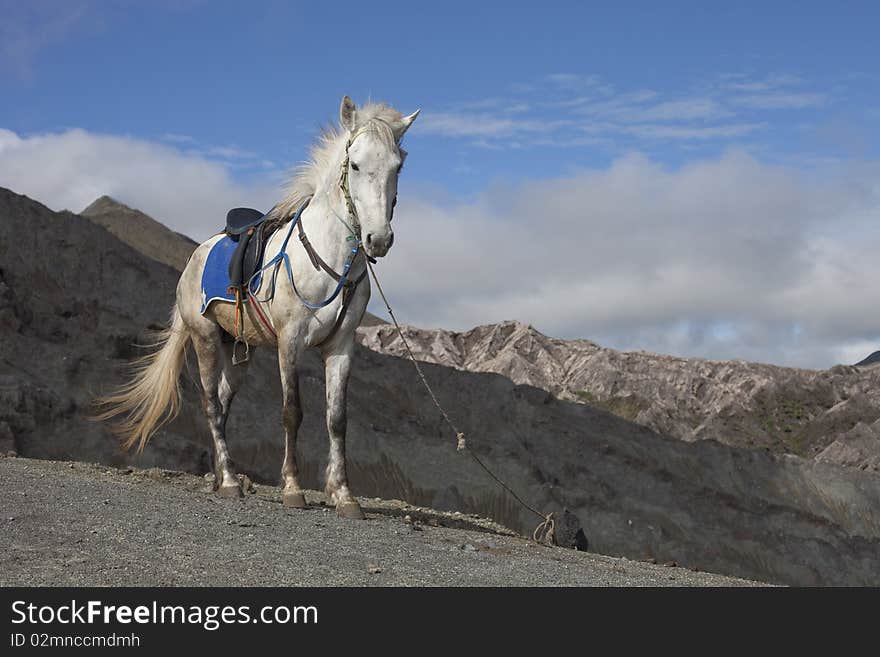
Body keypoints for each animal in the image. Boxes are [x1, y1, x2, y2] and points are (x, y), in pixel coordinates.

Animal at [98, 96, 422, 516]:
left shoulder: (341, 347)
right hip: (204, 338)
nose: (378, 239)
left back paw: (222, 476)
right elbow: (292, 412)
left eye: (397, 166)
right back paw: (230, 482)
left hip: (239, 351)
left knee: (222, 402)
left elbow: (337, 419)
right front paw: (293, 488)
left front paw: (344, 495)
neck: (328, 259)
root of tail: (194, 258)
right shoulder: (290, 342)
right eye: (354, 164)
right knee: (210, 404)